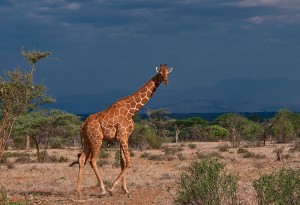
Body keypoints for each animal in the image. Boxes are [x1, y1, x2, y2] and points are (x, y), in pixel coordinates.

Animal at [69, 63, 173, 197]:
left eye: (167, 73)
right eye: (160, 73)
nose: (166, 81)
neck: (132, 110)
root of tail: (83, 125)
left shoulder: (123, 137)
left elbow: (122, 161)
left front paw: (125, 189)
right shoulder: (123, 136)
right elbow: (129, 161)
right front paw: (112, 188)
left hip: (87, 140)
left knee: (82, 159)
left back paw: (79, 191)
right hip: (97, 140)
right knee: (92, 160)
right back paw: (103, 189)